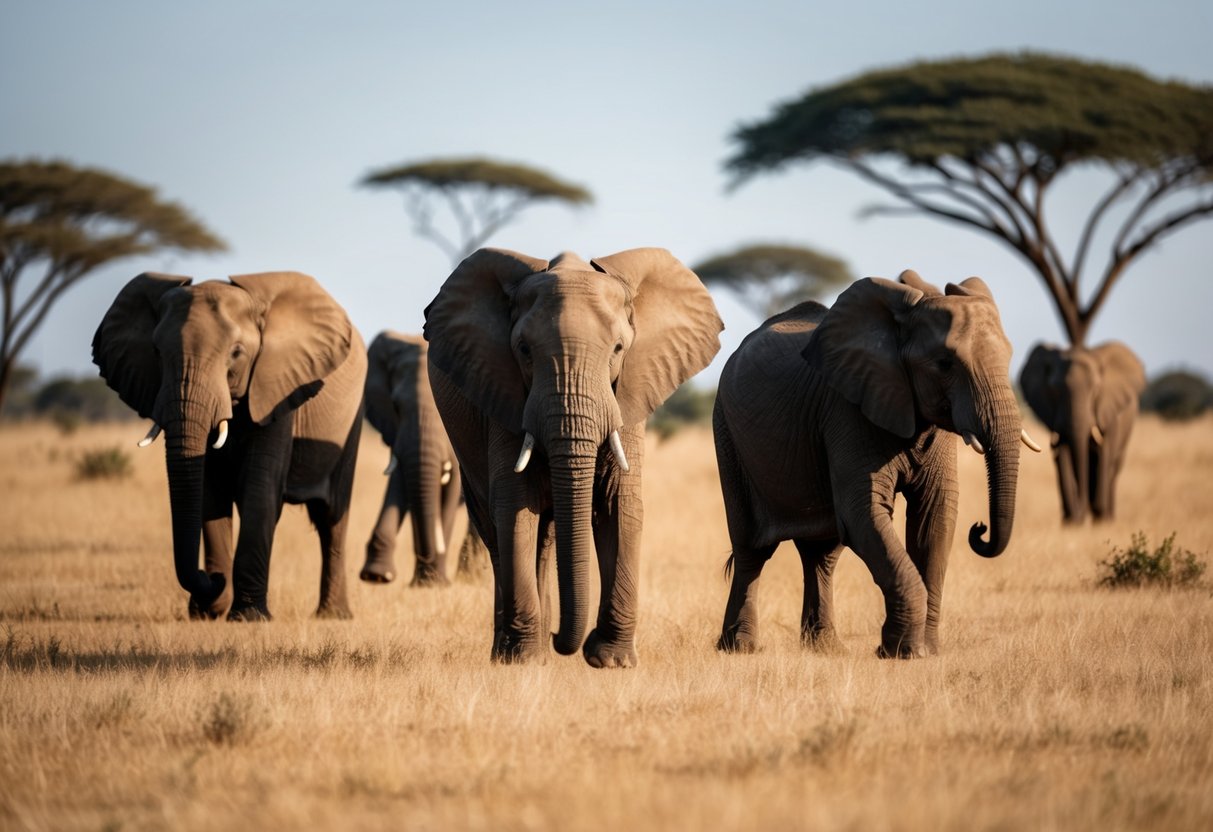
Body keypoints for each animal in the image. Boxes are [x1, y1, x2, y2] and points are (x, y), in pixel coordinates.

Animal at [92, 271, 366, 621]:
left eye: (236, 353)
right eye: (156, 352)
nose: (211, 578)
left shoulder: (277, 391)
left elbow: (259, 490)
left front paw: (249, 617)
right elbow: (209, 493)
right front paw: (208, 612)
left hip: (350, 421)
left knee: (331, 516)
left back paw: (333, 615)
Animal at [361, 331, 488, 585]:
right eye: (396, 406)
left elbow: (450, 491)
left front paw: (433, 584)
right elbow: (402, 482)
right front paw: (378, 576)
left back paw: (471, 576)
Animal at [424, 248, 722, 667]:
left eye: (618, 349)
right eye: (523, 350)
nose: (560, 639)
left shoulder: (628, 391)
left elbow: (618, 502)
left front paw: (611, 661)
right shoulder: (502, 390)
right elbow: (516, 504)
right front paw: (525, 659)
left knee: (546, 536)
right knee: (496, 529)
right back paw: (512, 651)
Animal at [714, 271, 1041, 658]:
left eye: (1009, 357)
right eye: (945, 364)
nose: (980, 530)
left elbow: (935, 516)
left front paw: (924, 652)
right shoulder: (845, 410)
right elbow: (864, 512)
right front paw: (902, 652)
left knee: (821, 553)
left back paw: (826, 649)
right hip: (727, 432)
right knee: (752, 548)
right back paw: (739, 648)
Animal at [1019, 341, 1146, 524]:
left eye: (1096, 389)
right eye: (1054, 390)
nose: (1080, 515)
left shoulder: (1109, 410)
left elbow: (1103, 453)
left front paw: (1098, 519)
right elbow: (1063, 454)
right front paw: (1071, 522)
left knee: (1113, 467)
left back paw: (1106, 517)